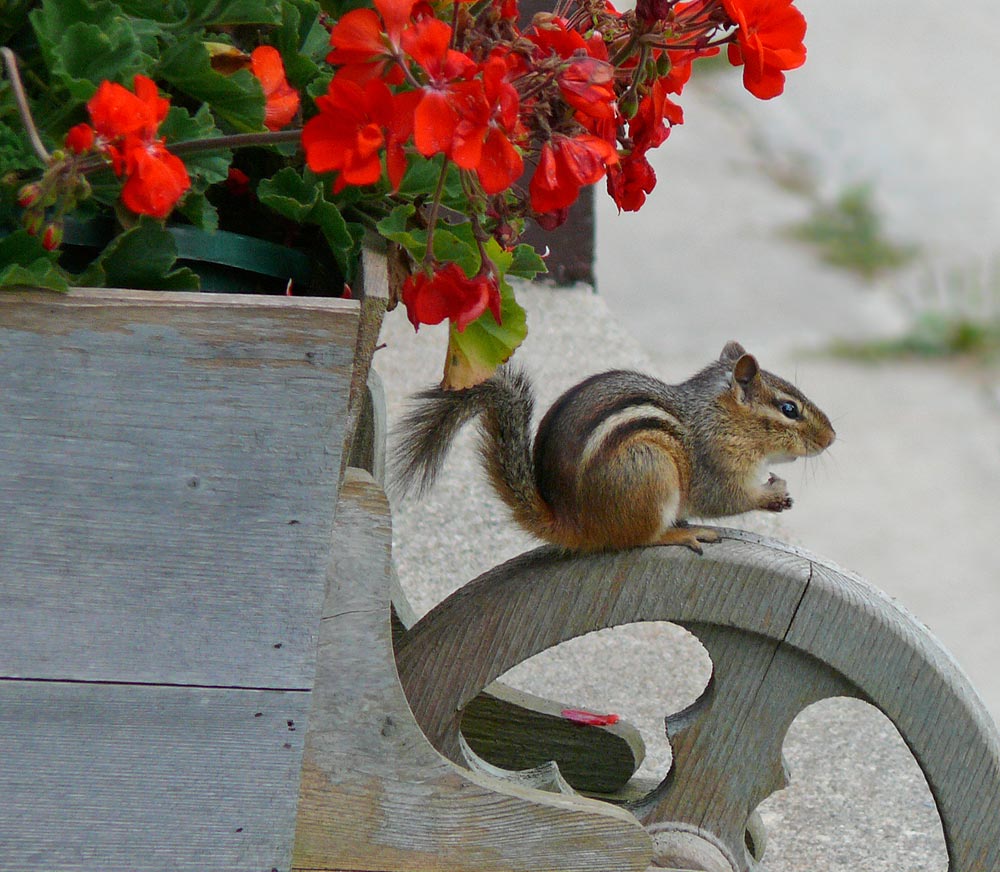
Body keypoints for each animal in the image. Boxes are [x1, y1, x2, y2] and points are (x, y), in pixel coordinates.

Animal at [392, 341, 835, 554]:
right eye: (790, 409)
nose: (831, 438)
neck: (719, 417)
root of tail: (574, 523)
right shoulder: (715, 462)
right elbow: (724, 498)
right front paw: (771, 494)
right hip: (650, 472)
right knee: (638, 539)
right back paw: (681, 534)